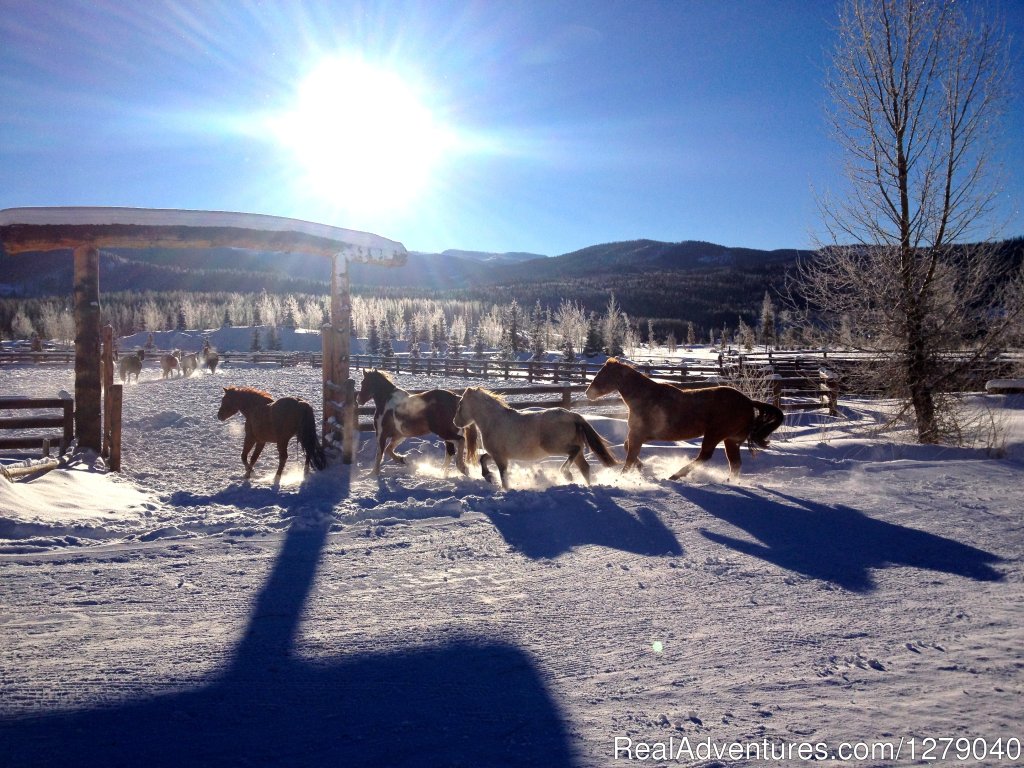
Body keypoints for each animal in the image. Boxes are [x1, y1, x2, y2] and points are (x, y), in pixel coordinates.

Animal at [454, 387, 614, 489]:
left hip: (554, 447)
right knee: (585, 467)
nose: (455, 422)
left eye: (460, 403)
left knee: (574, 452)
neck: (493, 420)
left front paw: (503, 488)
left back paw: (566, 474)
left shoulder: (500, 457)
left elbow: (504, 476)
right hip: (574, 452)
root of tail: (572, 415)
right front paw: (488, 476)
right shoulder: (497, 454)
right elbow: (483, 459)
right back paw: (587, 486)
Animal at [585, 358, 782, 479]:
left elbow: (630, 456)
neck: (646, 396)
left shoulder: (638, 434)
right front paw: (641, 468)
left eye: (602, 375)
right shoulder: (642, 435)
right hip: (730, 440)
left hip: (715, 434)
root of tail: (748, 401)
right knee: (735, 464)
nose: (588, 393)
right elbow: (628, 449)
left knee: (705, 456)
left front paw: (624, 477)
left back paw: (676, 475)